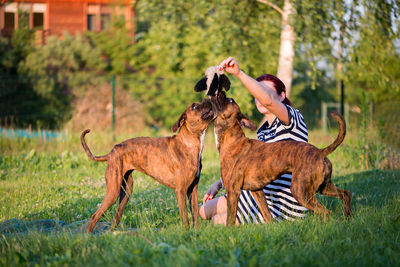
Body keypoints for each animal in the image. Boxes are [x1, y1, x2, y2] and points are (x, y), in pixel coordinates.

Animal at [79, 99, 214, 233]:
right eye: (195, 106)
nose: (208, 99)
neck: (188, 142)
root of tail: (111, 153)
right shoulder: (180, 190)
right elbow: (185, 218)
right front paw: (186, 233)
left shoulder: (193, 189)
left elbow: (195, 214)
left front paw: (197, 232)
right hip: (113, 191)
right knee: (94, 216)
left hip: (126, 192)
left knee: (116, 217)